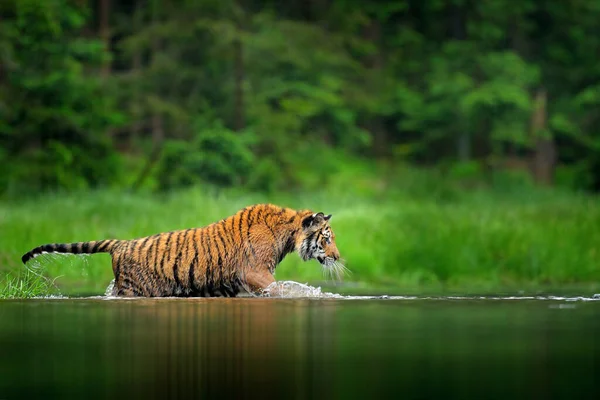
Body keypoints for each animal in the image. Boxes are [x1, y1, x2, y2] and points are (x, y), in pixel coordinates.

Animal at [19, 205, 346, 296]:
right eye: (327, 238)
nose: (337, 257)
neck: (287, 232)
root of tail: (120, 243)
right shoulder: (255, 272)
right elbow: (281, 288)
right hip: (134, 289)